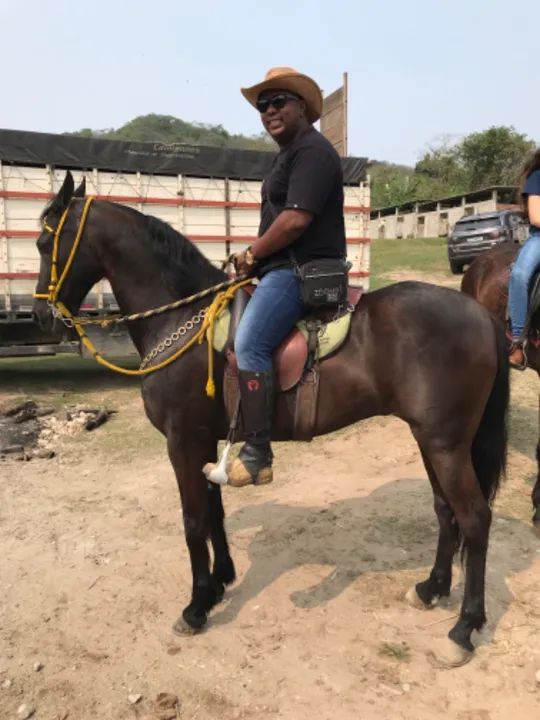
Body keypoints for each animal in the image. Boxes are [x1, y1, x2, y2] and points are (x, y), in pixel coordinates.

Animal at [32, 171, 509, 667]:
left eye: (45, 242)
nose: (40, 314)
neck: (183, 319)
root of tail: (480, 315)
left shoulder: (182, 441)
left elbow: (193, 521)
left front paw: (196, 605)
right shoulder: (204, 440)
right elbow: (214, 513)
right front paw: (220, 580)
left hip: (445, 444)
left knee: (475, 518)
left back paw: (464, 628)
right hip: (432, 439)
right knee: (445, 510)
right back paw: (432, 588)